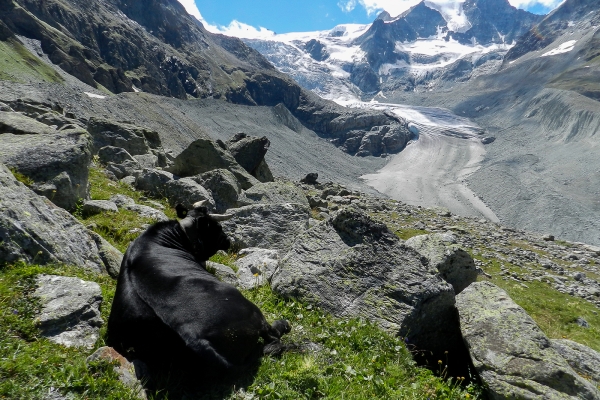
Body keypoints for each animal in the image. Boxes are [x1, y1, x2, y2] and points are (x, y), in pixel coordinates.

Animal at [107, 202, 290, 376]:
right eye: (218, 227)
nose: (228, 240)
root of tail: (195, 337)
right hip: (251, 309)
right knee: (272, 336)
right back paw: (283, 325)